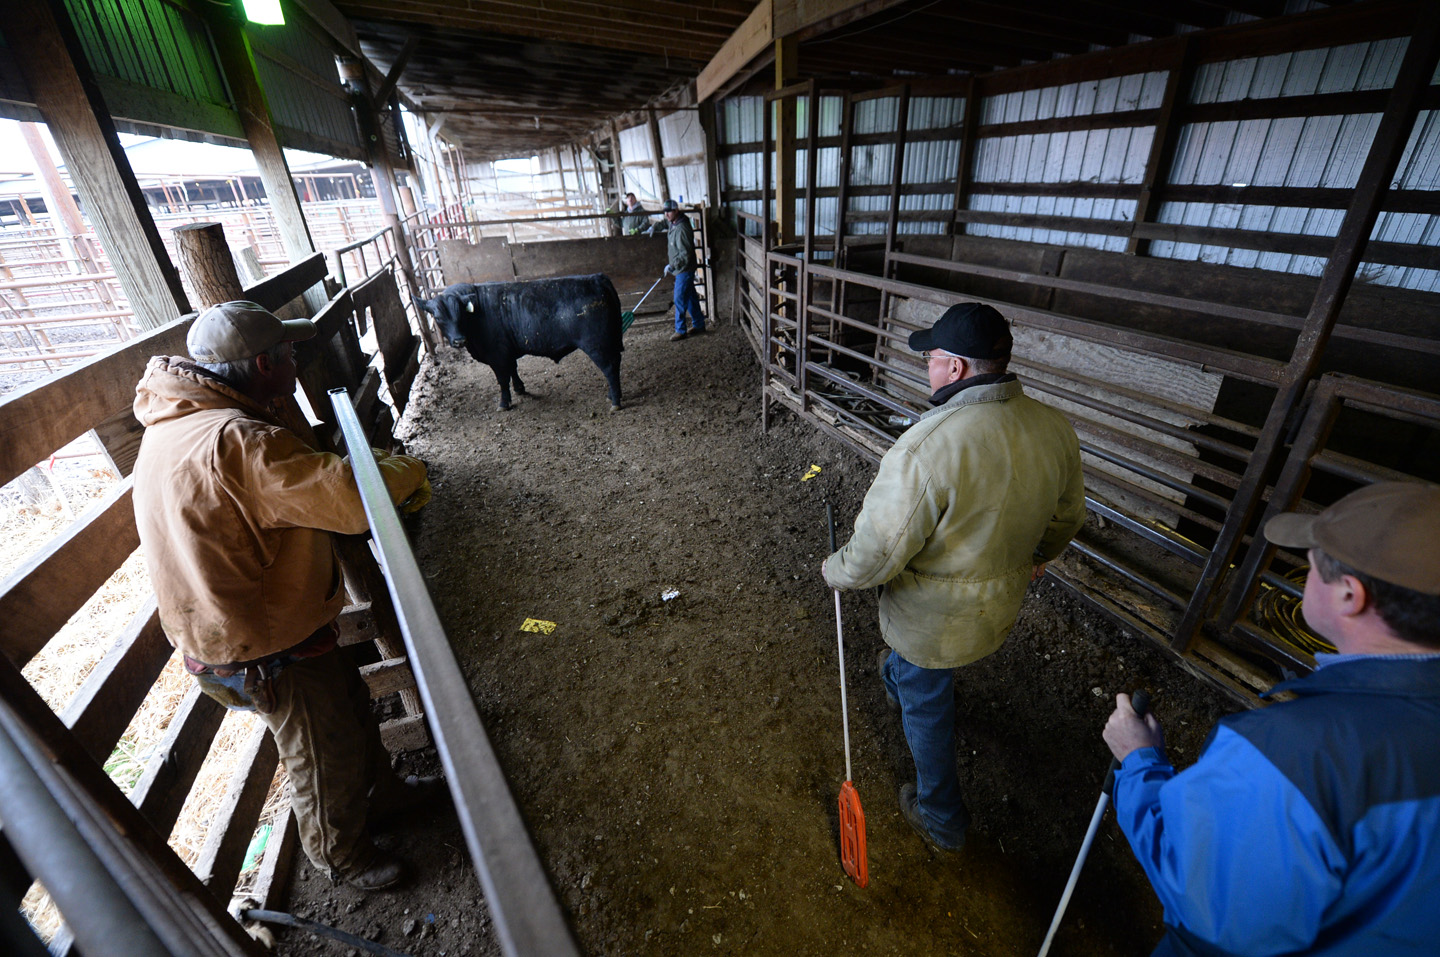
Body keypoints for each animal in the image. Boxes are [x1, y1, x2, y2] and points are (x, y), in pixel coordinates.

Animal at [411, 274, 624, 411]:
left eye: (461, 314)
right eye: (438, 318)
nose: (458, 340)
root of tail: (596, 278)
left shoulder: (497, 354)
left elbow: (502, 379)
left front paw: (504, 403)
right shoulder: (507, 352)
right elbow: (513, 369)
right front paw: (519, 388)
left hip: (597, 344)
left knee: (610, 368)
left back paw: (615, 401)